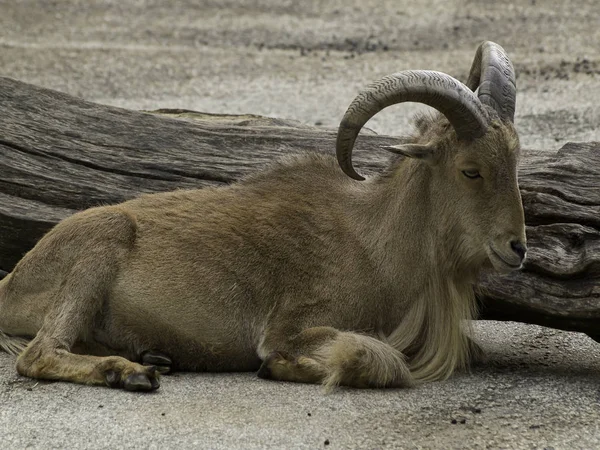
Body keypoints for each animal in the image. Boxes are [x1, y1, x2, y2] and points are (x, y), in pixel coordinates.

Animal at [0, 41, 524, 390]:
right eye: (470, 170)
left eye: (516, 161)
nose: (517, 247)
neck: (374, 242)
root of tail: (12, 281)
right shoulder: (294, 325)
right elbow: (378, 359)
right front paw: (279, 367)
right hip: (101, 237)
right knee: (38, 355)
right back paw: (129, 372)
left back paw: (150, 355)